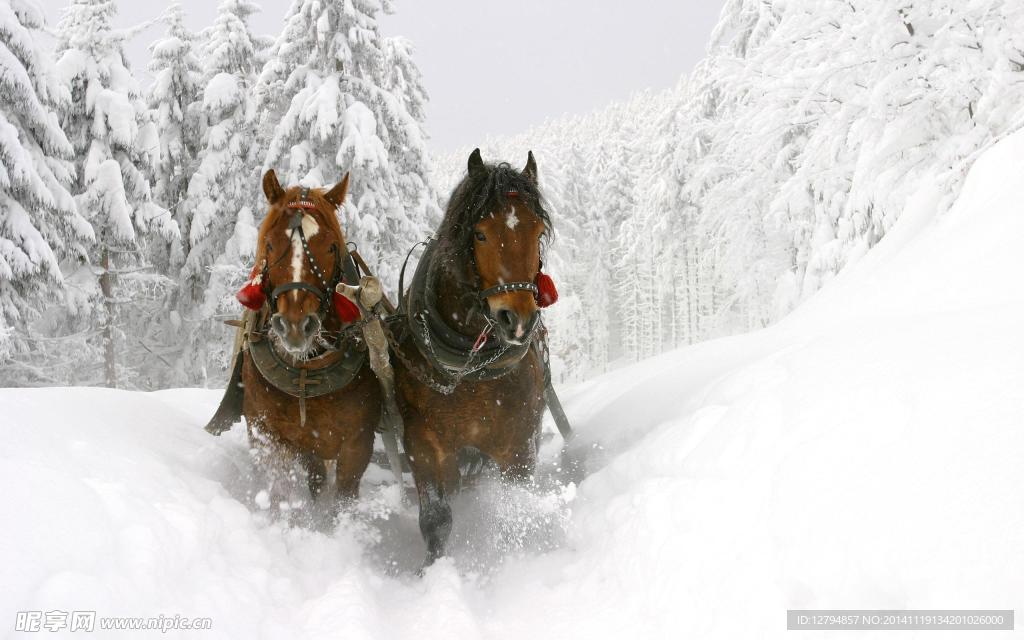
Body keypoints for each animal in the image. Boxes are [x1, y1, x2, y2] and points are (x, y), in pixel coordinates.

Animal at [233, 171, 385, 509]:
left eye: (330, 247)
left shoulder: (357, 444)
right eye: (270, 244)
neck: (306, 372)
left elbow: (343, 499)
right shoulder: (269, 436)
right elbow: (280, 494)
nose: (294, 325)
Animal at [393, 149, 557, 565]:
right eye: (480, 233)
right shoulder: (424, 445)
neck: (471, 369)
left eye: (537, 232)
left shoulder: (519, 446)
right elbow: (436, 520)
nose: (517, 319)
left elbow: (515, 510)